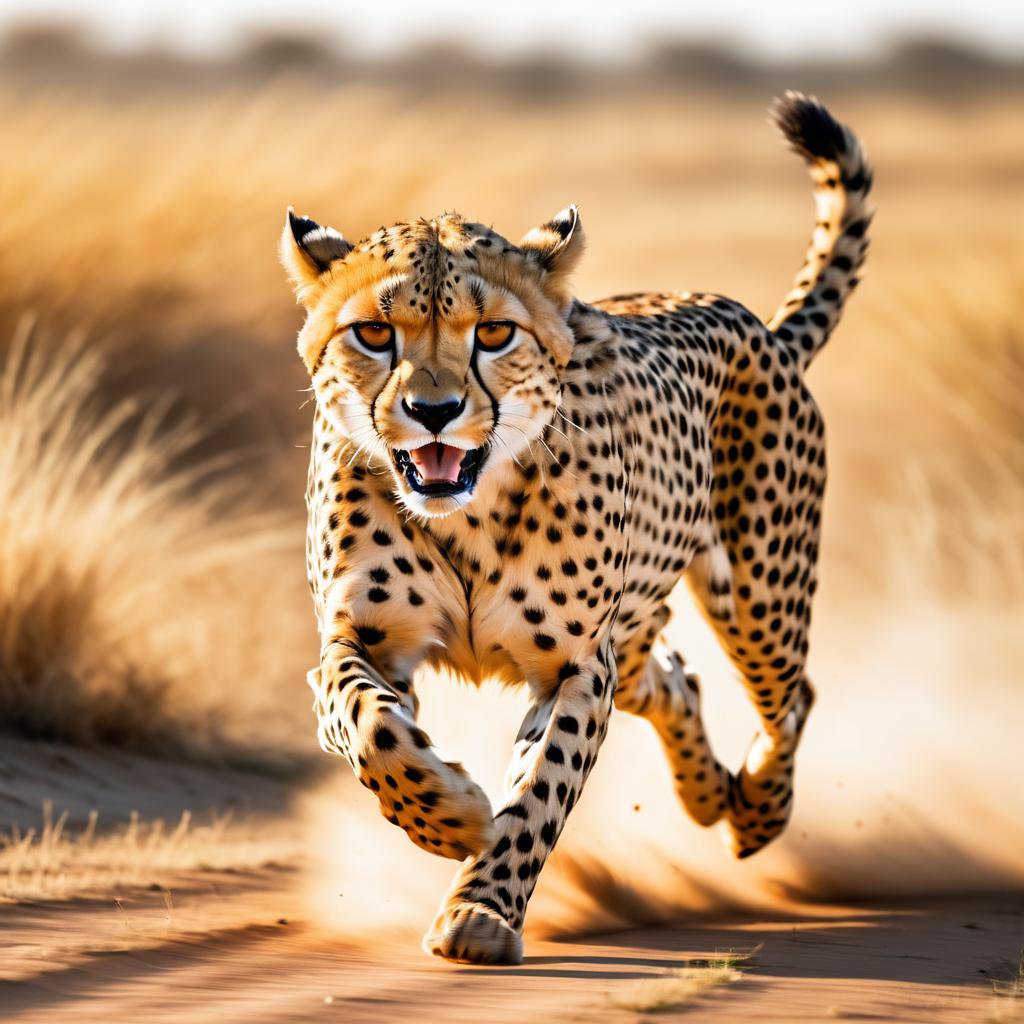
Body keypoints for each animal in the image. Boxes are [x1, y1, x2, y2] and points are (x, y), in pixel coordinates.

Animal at [284, 92, 876, 962]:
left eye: (494, 333)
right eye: (375, 333)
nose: (434, 411)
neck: (468, 513)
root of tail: (752, 322)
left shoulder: (573, 664)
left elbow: (539, 789)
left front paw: (482, 910)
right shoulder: (363, 638)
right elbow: (366, 723)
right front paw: (448, 815)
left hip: (759, 595)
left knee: (790, 692)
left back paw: (759, 807)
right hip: (648, 628)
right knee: (677, 677)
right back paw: (708, 795)